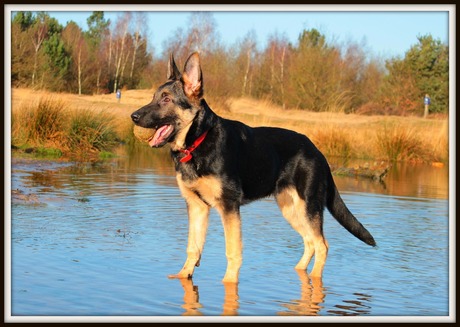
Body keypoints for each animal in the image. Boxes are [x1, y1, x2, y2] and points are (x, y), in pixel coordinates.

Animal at [131, 52, 376, 284]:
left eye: (166, 99)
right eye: (154, 97)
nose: (133, 116)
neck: (198, 141)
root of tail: (319, 153)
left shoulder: (229, 207)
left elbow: (232, 251)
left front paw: (229, 283)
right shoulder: (197, 206)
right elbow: (194, 247)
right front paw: (184, 275)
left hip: (308, 207)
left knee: (322, 245)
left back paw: (315, 280)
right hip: (291, 209)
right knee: (310, 242)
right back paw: (299, 273)